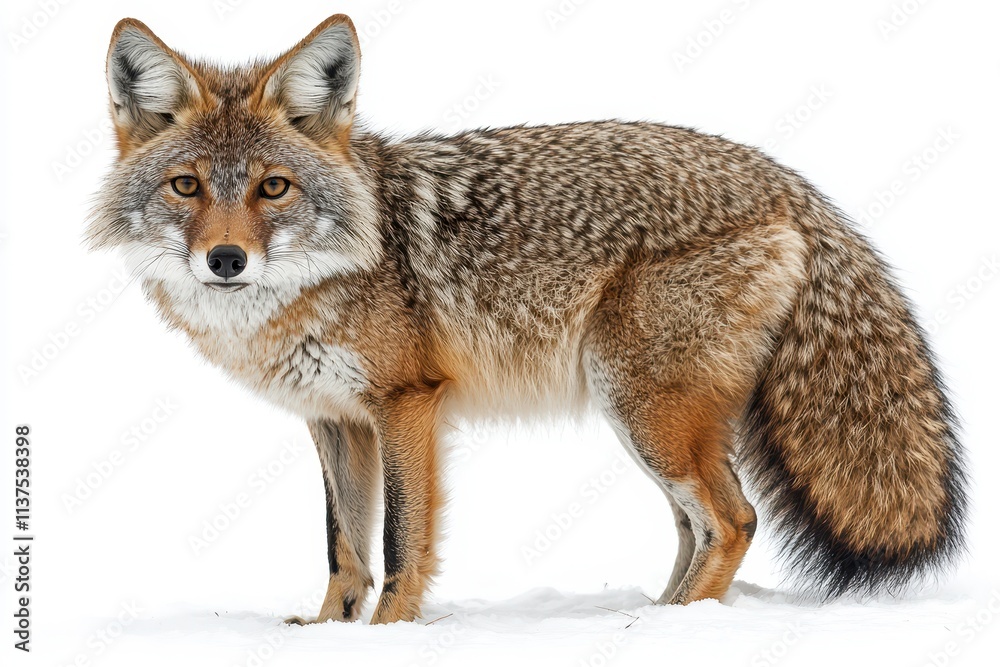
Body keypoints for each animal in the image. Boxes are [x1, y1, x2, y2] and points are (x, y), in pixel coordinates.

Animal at [89, 14, 968, 625]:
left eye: (272, 187)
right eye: (187, 186)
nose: (225, 260)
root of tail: (787, 179)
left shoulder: (406, 402)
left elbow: (401, 541)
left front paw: (388, 633)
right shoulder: (335, 419)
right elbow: (345, 545)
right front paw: (329, 632)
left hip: (644, 409)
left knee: (733, 518)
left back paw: (674, 627)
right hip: (650, 421)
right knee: (698, 526)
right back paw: (658, 617)